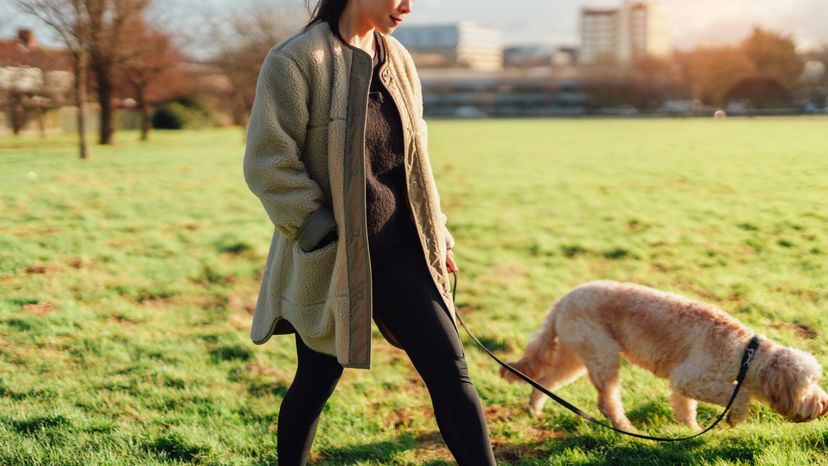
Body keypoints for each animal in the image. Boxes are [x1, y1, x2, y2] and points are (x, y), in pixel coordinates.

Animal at [498, 278, 828, 432]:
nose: (824, 404)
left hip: (575, 357)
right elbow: (740, 395)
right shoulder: (690, 378)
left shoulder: (683, 385)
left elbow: (685, 409)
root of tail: (562, 300)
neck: (745, 352)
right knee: (607, 401)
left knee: (545, 382)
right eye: (808, 385)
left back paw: (536, 410)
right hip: (603, 356)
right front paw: (734, 419)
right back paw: (624, 428)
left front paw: (692, 430)